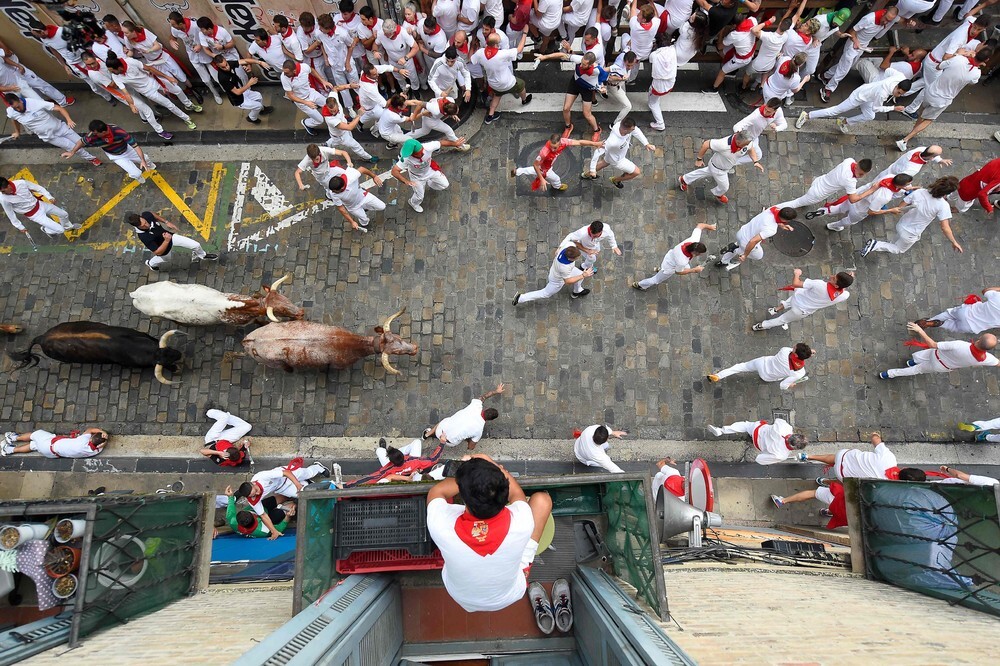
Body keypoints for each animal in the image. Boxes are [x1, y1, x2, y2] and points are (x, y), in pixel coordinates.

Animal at [244, 308, 420, 374]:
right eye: (396, 351)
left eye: (399, 337)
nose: (415, 348)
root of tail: (247, 340)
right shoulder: (339, 364)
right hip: (275, 363)